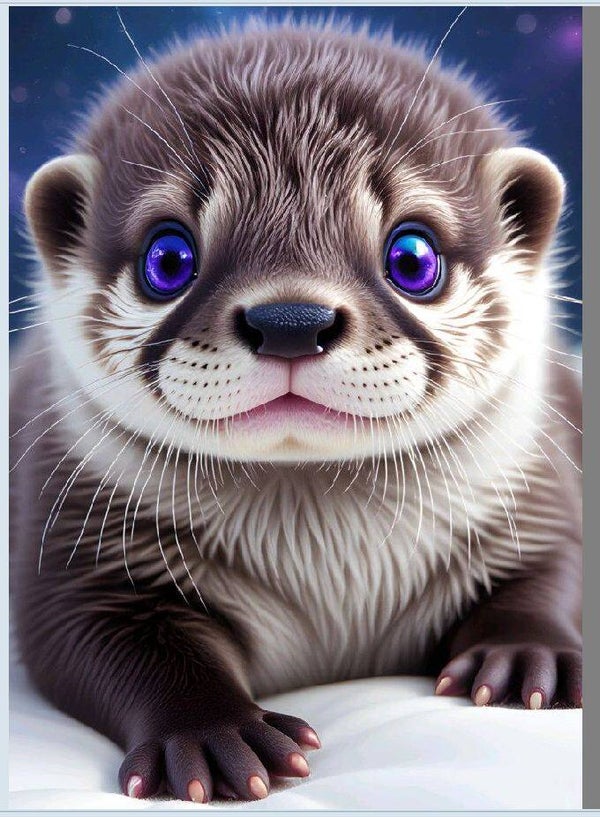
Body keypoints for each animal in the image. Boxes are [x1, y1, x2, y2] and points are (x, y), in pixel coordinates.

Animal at [10, 20, 582, 804]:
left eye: (413, 257)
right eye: (168, 257)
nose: (290, 321)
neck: (331, 575)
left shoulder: (541, 489)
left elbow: (554, 572)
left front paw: (527, 653)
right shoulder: (77, 542)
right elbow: (99, 638)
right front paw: (213, 734)